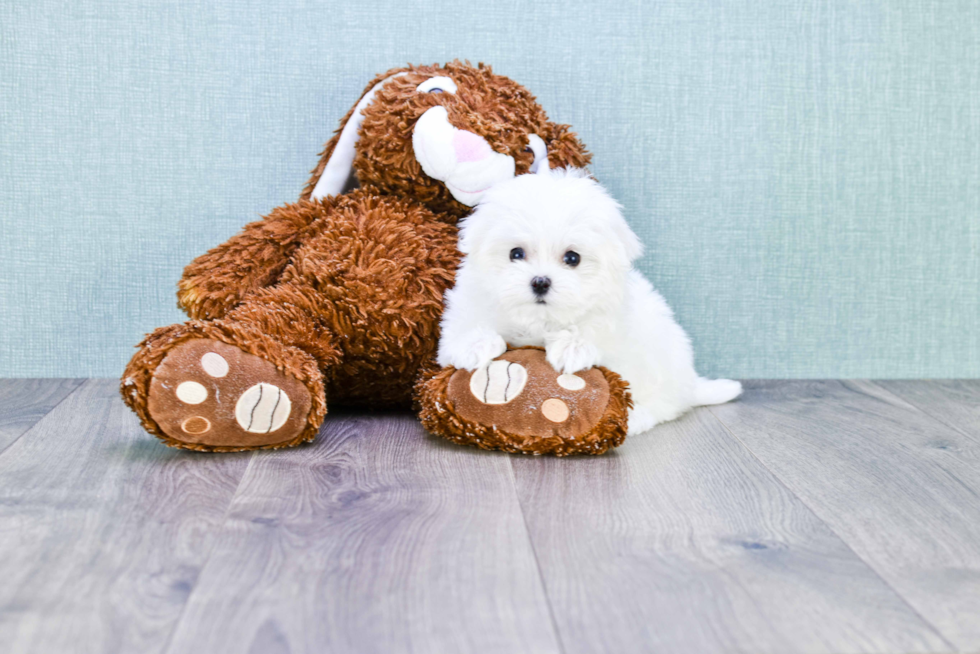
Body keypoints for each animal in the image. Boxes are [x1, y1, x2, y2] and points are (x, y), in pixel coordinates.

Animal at [436, 169, 744, 436]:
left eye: (572, 258)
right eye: (516, 253)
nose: (540, 281)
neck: (538, 321)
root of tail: (689, 385)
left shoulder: (612, 318)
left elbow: (591, 327)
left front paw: (572, 348)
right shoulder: (466, 306)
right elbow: (467, 327)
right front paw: (475, 346)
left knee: (661, 405)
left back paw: (637, 419)